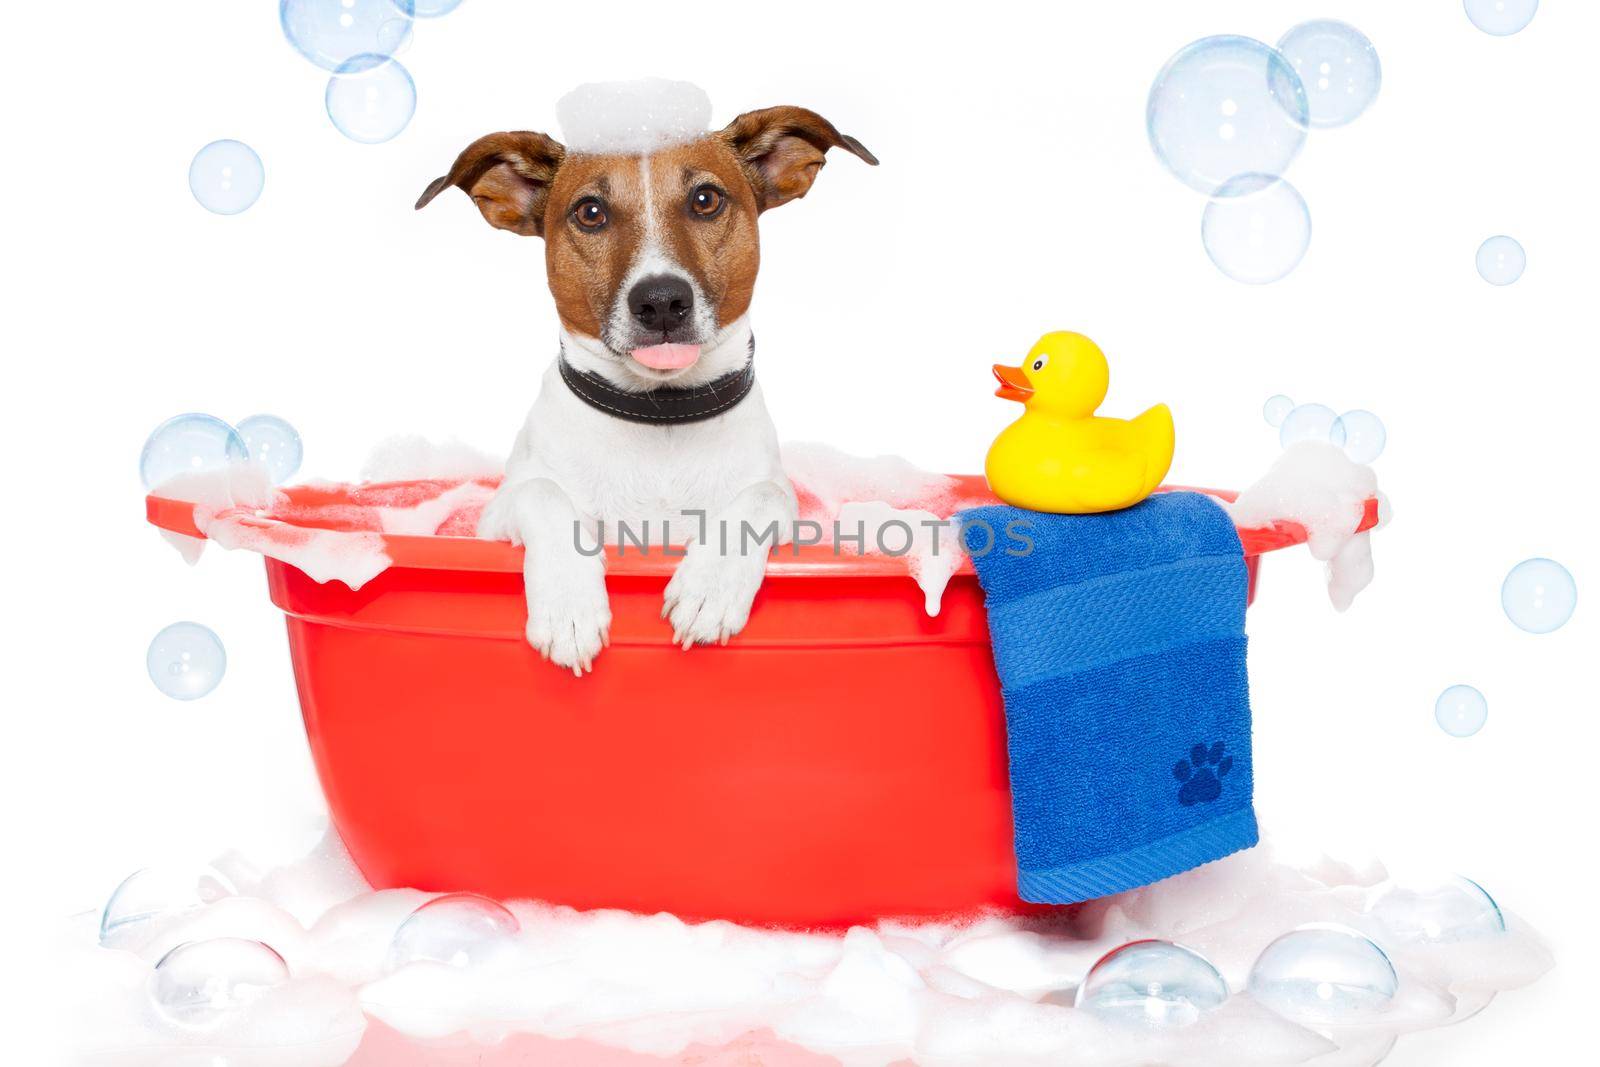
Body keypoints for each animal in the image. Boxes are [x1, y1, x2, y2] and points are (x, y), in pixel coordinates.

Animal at [416, 103, 876, 671]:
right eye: (590, 212)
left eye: (705, 200)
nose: (661, 301)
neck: (660, 416)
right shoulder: (496, 516)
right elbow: (544, 494)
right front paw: (568, 605)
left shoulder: (789, 508)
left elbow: (761, 498)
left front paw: (711, 585)